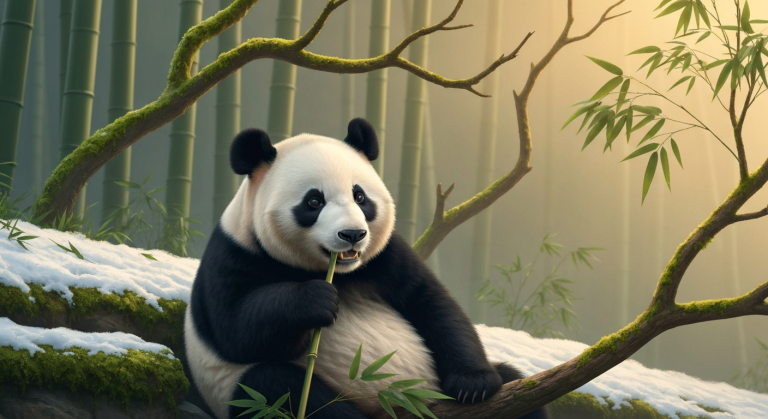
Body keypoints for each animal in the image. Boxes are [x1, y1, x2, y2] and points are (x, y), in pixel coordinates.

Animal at [184, 118, 550, 419]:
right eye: (313, 201)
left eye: (359, 196)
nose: (352, 235)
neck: (337, 273)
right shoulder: (233, 256)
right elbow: (236, 329)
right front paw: (316, 300)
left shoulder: (386, 257)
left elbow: (434, 305)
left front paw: (473, 384)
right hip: (246, 391)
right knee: (279, 387)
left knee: (516, 386)